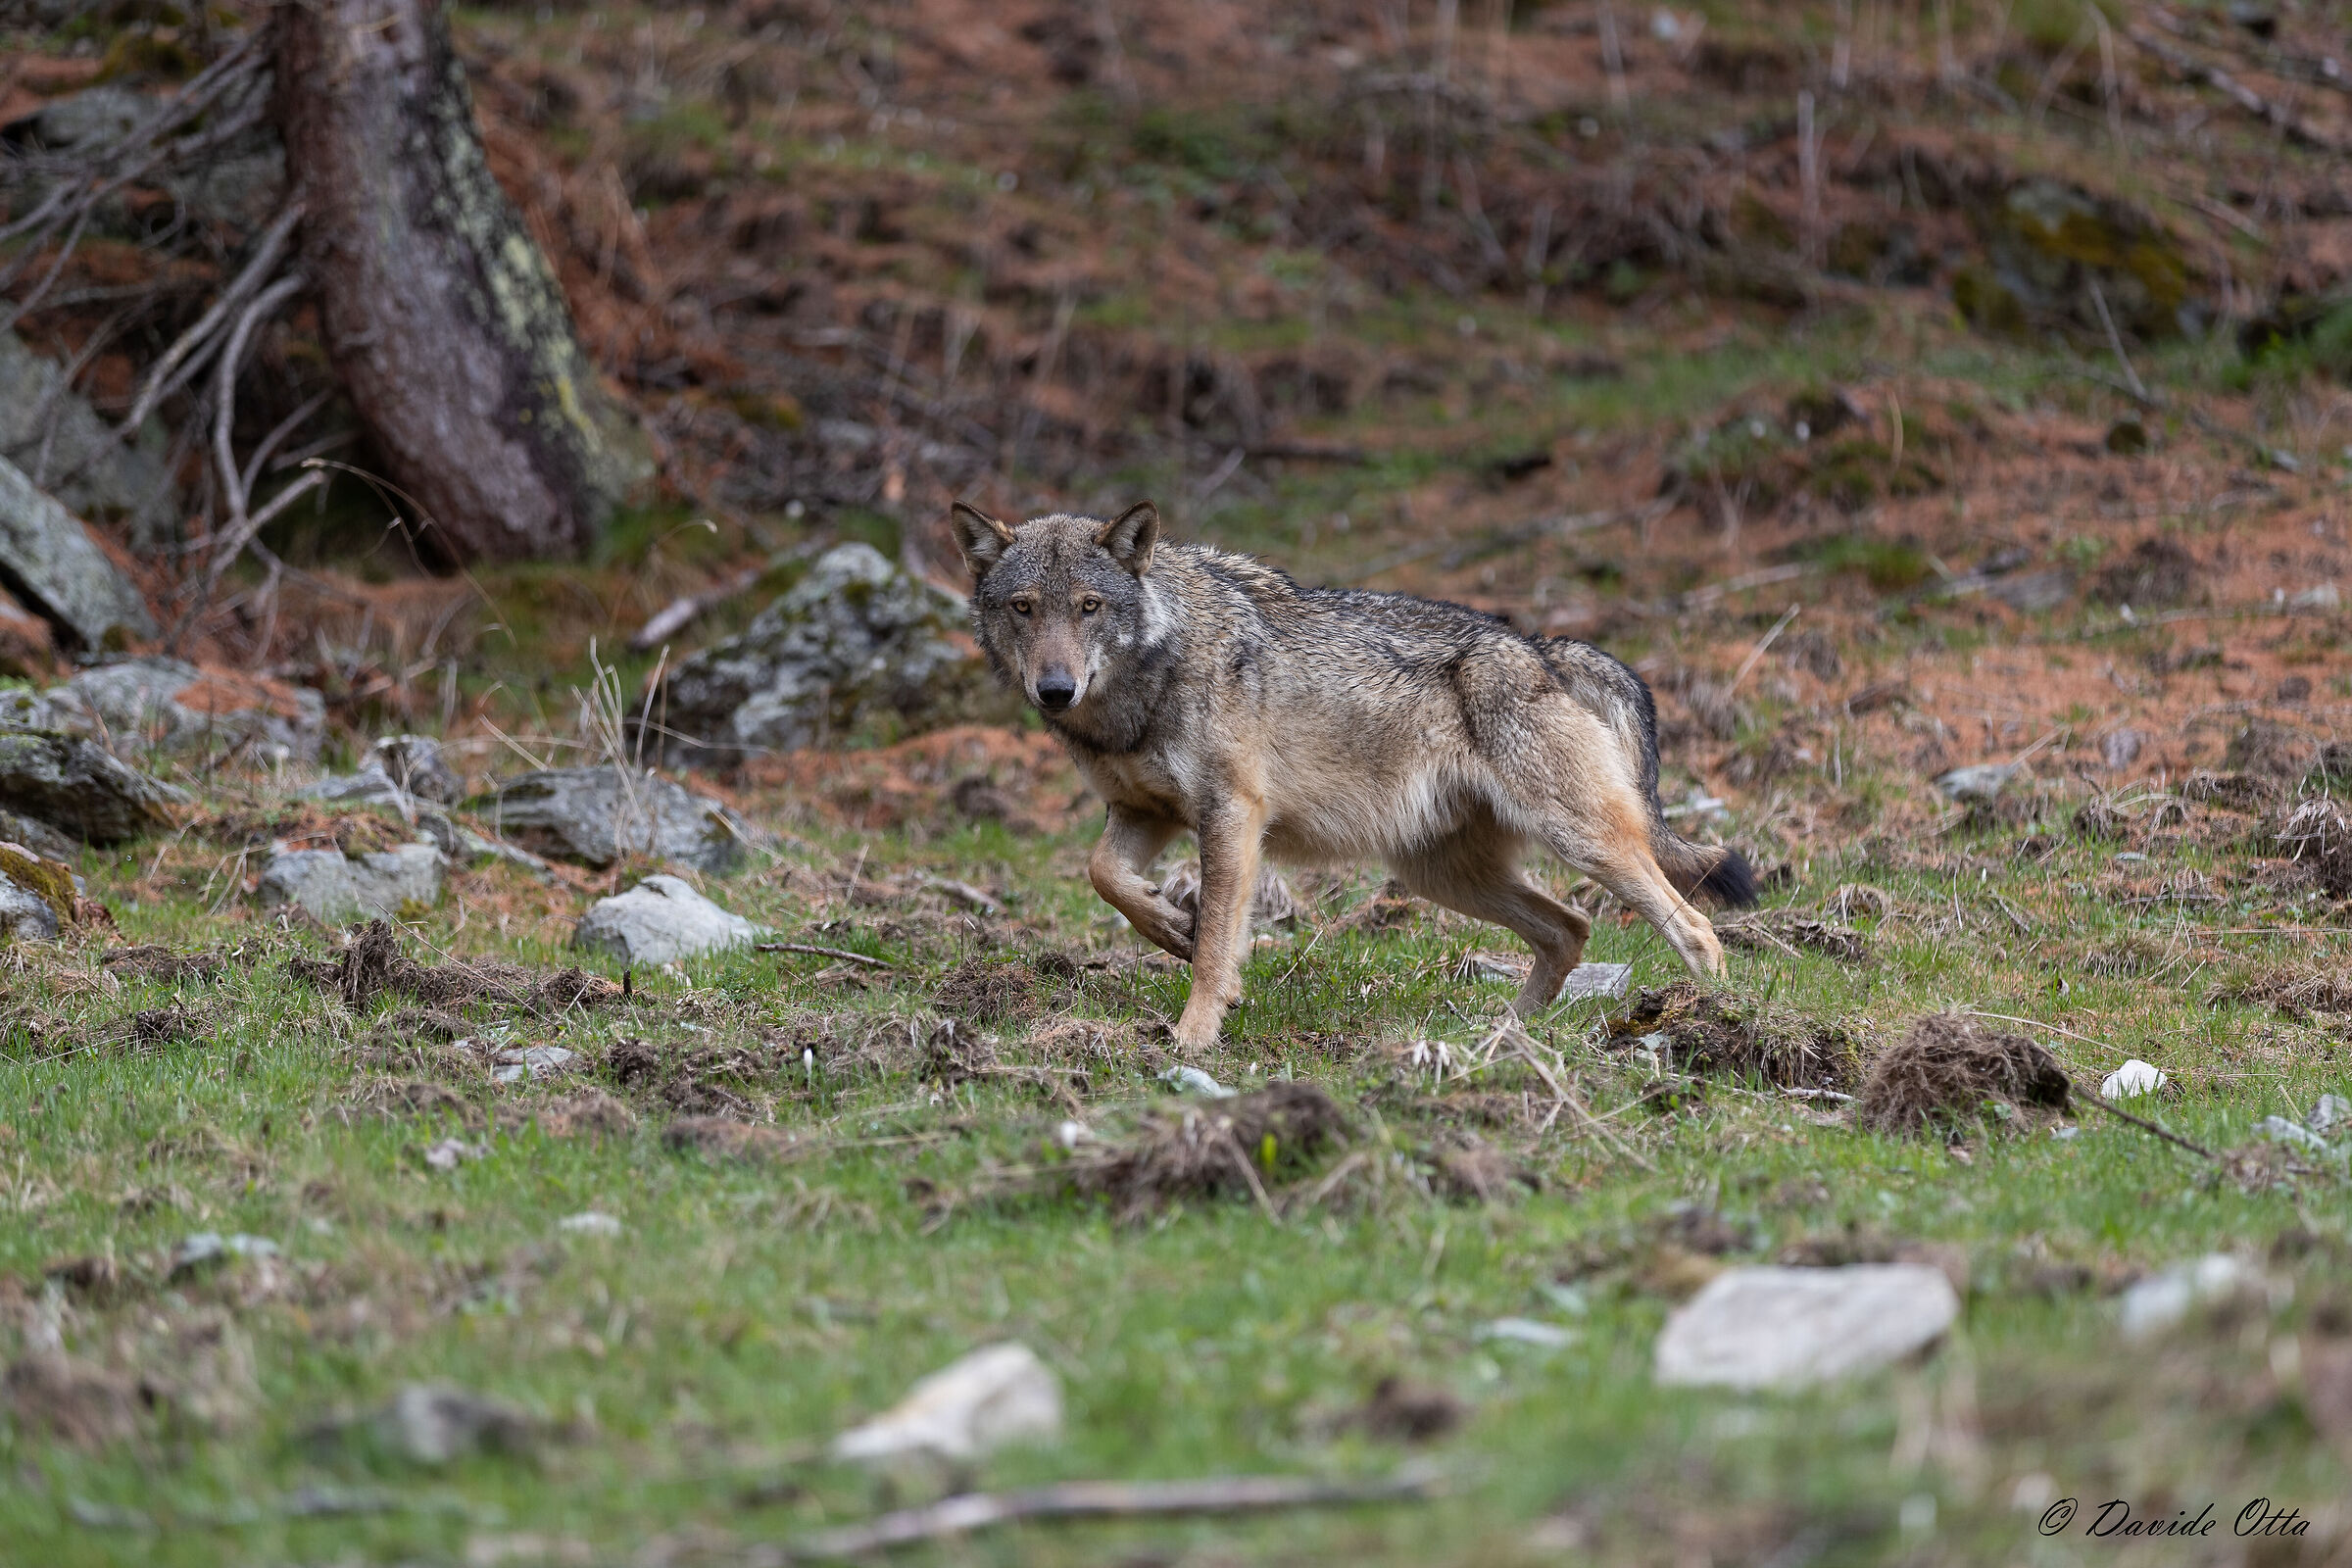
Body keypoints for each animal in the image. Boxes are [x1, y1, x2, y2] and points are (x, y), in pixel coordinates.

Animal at [949, 499, 1757, 1051]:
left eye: (1089, 606)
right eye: (1024, 609)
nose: (1055, 690)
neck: (1144, 686)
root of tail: (1542, 648)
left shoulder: (1231, 813)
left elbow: (1215, 949)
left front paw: (1194, 1034)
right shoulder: (1143, 813)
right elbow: (1105, 877)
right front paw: (1171, 925)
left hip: (1579, 844)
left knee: (1693, 927)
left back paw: (1715, 1017)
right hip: (1440, 875)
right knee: (1571, 927)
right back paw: (1503, 1034)